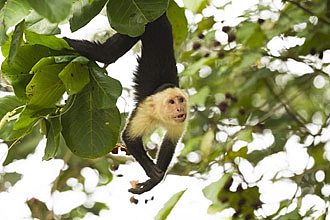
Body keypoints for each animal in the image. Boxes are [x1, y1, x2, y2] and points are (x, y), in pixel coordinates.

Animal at [63, 13, 188, 193]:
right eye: (171, 102)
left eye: (181, 100)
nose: (179, 108)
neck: (160, 115)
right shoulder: (145, 110)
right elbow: (129, 138)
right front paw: (153, 173)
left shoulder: (181, 120)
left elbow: (169, 143)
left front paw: (153, 181)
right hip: (137, 26)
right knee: (107, 54)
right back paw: (61, 40)